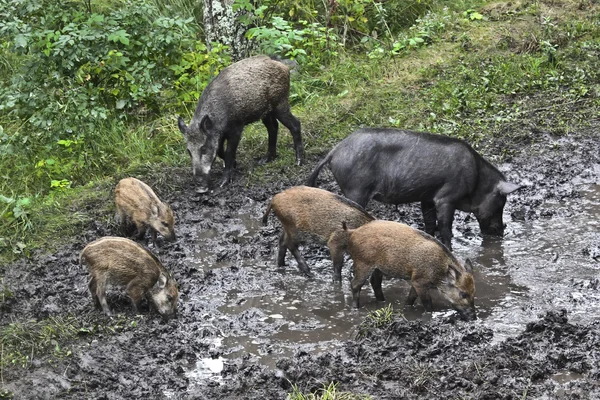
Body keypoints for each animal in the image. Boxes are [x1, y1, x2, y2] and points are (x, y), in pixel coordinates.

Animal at [176, 55, 302, 193]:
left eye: (203, 148)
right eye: (188, 151)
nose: (199, 188)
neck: (217, 118)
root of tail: (283, 66)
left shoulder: (236, 129)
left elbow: (229, 152)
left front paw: (223, 183)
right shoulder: (220, 135)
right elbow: (220, 151)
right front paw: (235, 164)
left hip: (280, 104)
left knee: (295, 124)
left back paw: (298, 162)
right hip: (266, 112)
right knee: (273, 127)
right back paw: (264, 160)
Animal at [308, 128, 524, 250]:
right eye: (501, 203)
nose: (501, 231)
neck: (477, 179)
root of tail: (334, 152)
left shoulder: (427, 197)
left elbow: (429, 224)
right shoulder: (446, 197)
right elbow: (445, 228)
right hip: (356, 189)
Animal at [330, 220, 476, 320]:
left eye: (473, 292)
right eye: (463, 294)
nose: (474, 318)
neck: (439, 271)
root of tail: (352, 233)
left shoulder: (415, 281)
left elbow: (410, 298)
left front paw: (406, 309)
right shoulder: (419, 281)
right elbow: (427, 302)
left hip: (377, 268)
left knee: (375, 282)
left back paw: (382, 302)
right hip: (363, 263)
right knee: (355, 284)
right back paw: (356, 308)